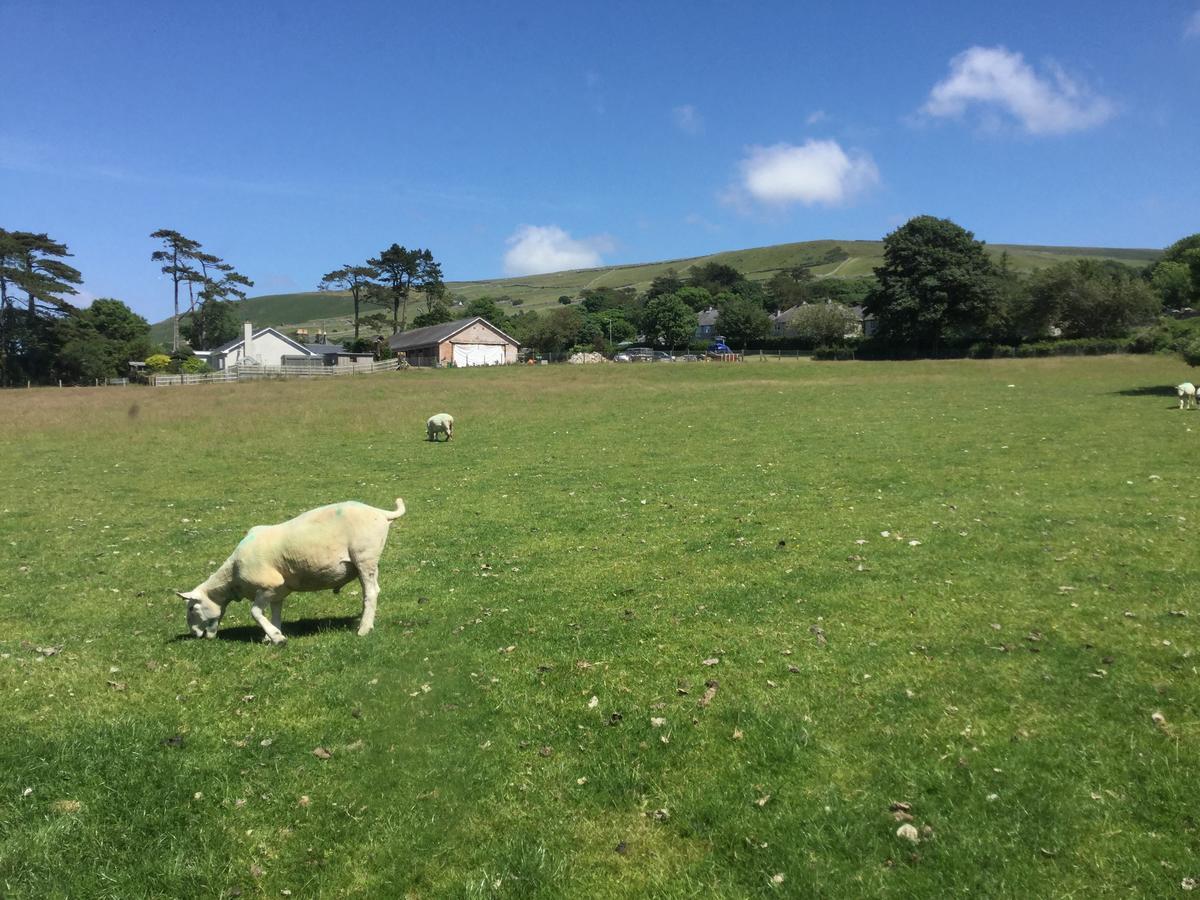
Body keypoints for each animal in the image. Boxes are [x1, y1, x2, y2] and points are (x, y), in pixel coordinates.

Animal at [175, 496, 405, 643]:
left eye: (191, 608)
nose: (194, 635)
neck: (232, 578)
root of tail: (380, 513)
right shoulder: (278, 591)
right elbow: (275, 613)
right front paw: (271, 635)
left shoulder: (267, 585)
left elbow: (255, 612)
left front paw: (277, 638)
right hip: (368, 561)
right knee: (373, 589)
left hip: (364, 556)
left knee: (371, 593)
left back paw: (363, 629)